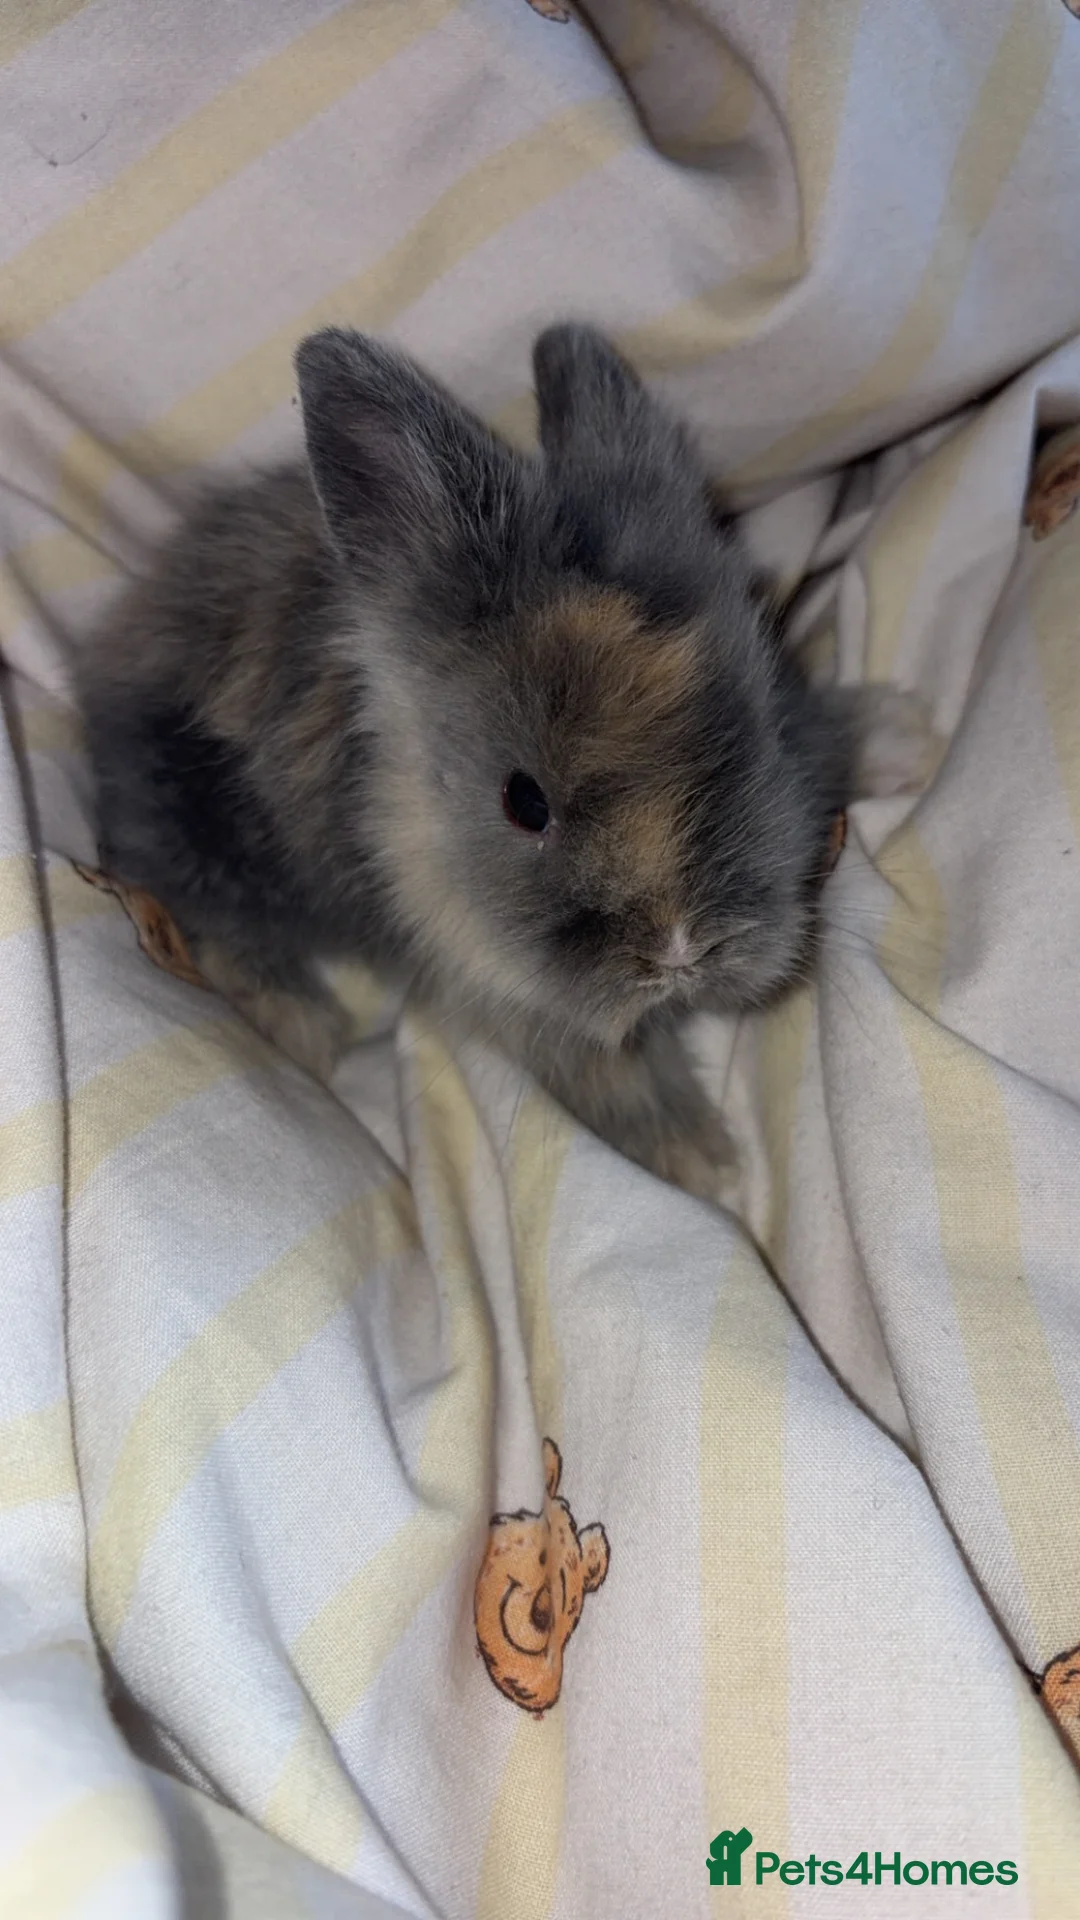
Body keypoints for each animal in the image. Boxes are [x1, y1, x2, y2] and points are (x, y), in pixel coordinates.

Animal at [76, 323, 929, 1198]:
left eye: (757, 732)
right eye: (524, 802)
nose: (680, 952)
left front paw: (905, 735)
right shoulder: (498, 982)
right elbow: (608, 1074)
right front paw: (706, 1163)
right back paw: (307, 1026)